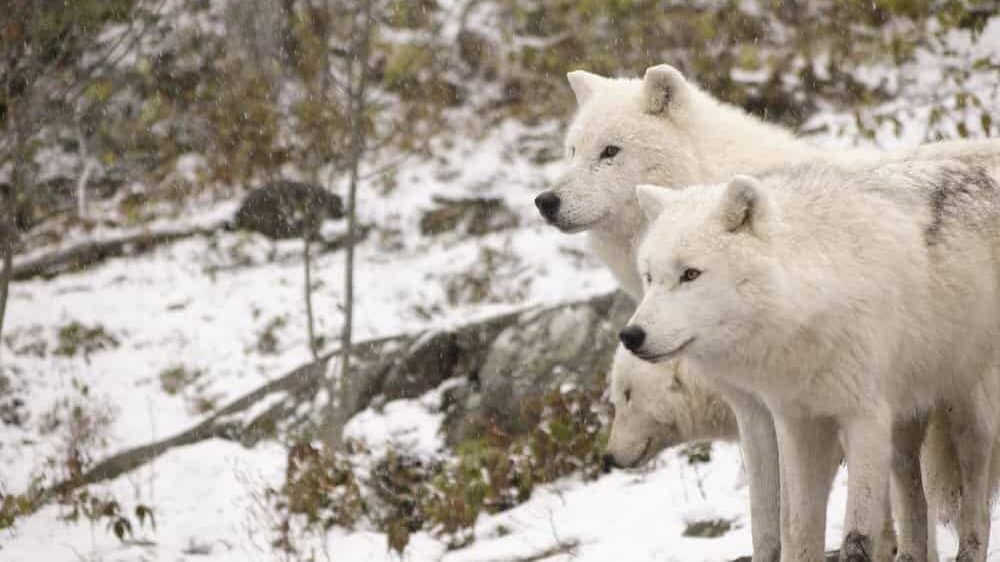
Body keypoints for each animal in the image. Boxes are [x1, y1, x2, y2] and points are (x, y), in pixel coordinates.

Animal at [622, 161, 1000, 562]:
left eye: (690, 274)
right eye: (650, 277)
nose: (631, 335)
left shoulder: (865, 420)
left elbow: (856, 539)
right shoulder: (798, 424)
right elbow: (798, 528)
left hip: (969, 418)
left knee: (977, 506)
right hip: (904, 427)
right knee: (913, 498)